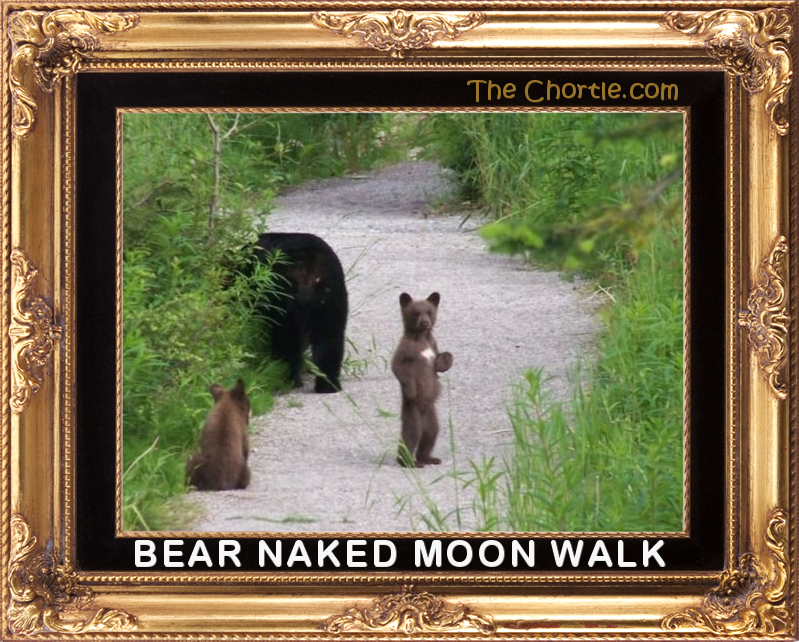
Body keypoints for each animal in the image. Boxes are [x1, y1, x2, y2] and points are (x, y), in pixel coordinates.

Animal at [250, 232, 348, 394]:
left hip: (282, 292)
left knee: (287, 338)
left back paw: (287, 379)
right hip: (333, 293)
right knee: (331, 336)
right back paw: (328, 385)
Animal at [390, 292, 453, 468]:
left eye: (429, 311)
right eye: (416, 312)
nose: (425, 322)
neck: (422, 338)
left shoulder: (433, 345)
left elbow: (442, 357)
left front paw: (442, 362)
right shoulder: (405, 348)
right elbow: (398, 367)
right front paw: (411, 390)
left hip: (432, 416)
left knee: (431, 435)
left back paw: (429, 458)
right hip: (412, 413)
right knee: (411, 435)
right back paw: (409, 462)